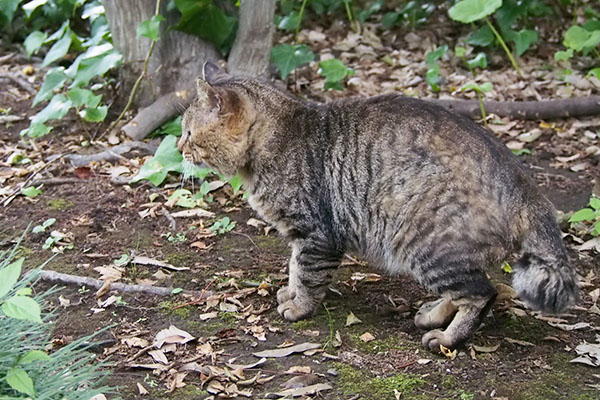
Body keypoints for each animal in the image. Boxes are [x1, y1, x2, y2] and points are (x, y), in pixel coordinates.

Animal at [178, 61, 576, 350]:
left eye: (187, 132)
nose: (179, 147)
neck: (278, 139)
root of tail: (522, 182)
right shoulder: (300, 236)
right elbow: (293, 267)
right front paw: (289, 292)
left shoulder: (316, 235)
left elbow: (307, 275)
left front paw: (298, 306)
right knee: (471, 287)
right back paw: (434, 314)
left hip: (427, 247)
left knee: (481, 294)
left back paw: (447, 337)